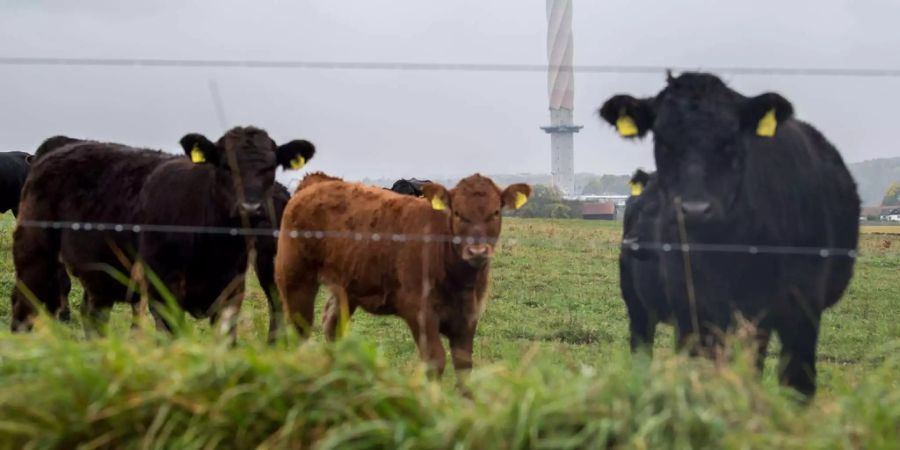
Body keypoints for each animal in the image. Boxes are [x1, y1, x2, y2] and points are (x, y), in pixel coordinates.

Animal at [274, 172, 528, 376]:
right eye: (457, 213)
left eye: (495, 212)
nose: (477, 251)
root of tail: (317, 182)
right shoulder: (419, 311)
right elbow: (435, 361)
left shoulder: (468, 315)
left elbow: (464, 365)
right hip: (296, 281)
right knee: (298, 331)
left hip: (346, 288)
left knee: (331, 327)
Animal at [600, 72, 860, 396]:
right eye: (662, 140)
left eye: (730, 141)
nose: (694, 210)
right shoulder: (694, 312)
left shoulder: (800, 311)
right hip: (638, 308)